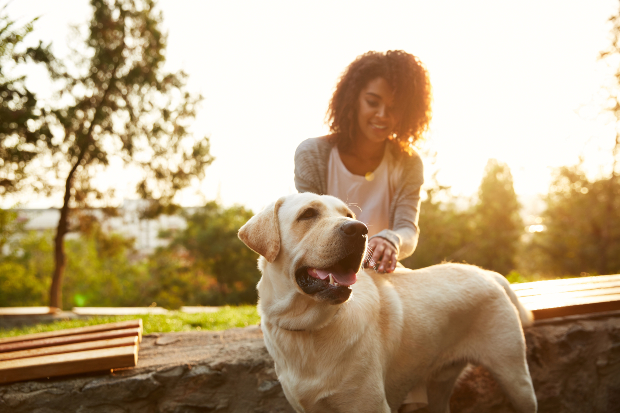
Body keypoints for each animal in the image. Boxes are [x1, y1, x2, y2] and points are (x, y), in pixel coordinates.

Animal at [239, 193, 536, 412]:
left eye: (349, 216)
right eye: (308, 214)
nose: (359, 230)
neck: (308, 328)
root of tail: (487, 273)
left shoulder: (369, 405)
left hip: (516, 379)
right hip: (439, 384)